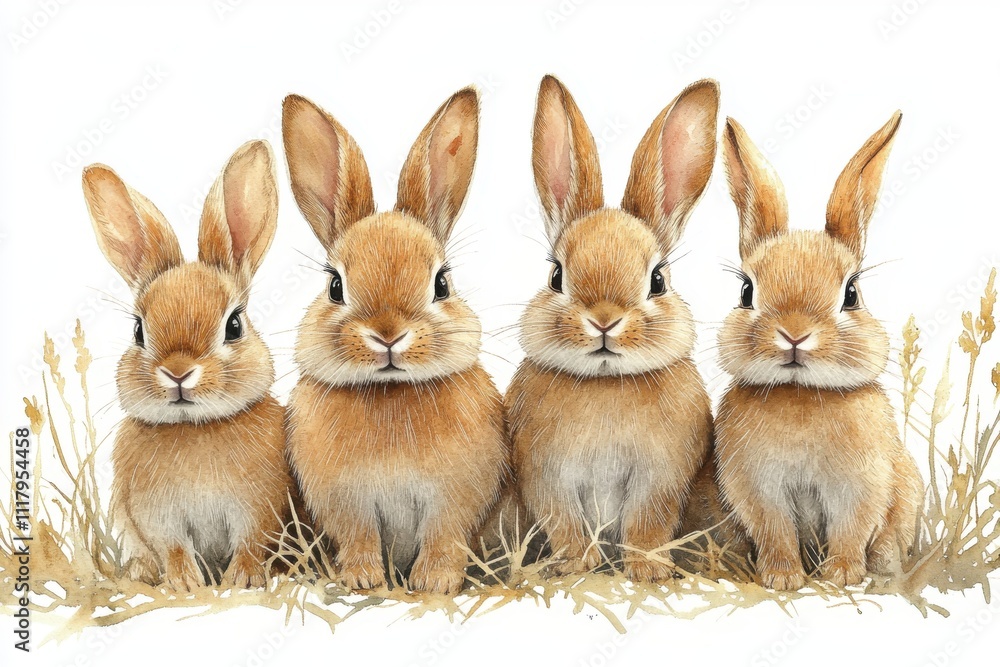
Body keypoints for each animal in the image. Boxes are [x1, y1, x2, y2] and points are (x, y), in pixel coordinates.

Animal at [81, 141, 296, 591]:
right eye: (138, 331)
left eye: (234, 326)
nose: (178, 372)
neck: (195, 428)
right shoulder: (156, 515)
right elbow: (175, 548)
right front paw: (185, 583)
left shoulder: (260, 507)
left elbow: (251, 543)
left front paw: (241, 581)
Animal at [282, 86, 509, 595]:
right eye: (335, 286)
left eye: (442, 283)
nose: (388, 334)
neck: (391, 391)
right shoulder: (347, 503)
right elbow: (360, 537)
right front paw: (363, 579)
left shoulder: (454, 499)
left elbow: (445, 538)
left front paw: (434, 583)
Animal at [506, 75, 719, 582]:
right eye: (556, 276)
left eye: (658, 279)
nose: (604, 320)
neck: (606, 385)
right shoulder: (546, 477)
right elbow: (565, 525)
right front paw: (575, 567)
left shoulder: (660, 479)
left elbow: (646, 524)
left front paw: (647, 571)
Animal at [713, 113, 924, 590]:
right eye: (746, 291)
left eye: (851, 294)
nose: (794, 335)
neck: (802, 394)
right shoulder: (758, 489)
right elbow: (775, 532)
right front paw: (783, 579)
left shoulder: (861, 485)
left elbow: (851, 529)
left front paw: (842, 576)